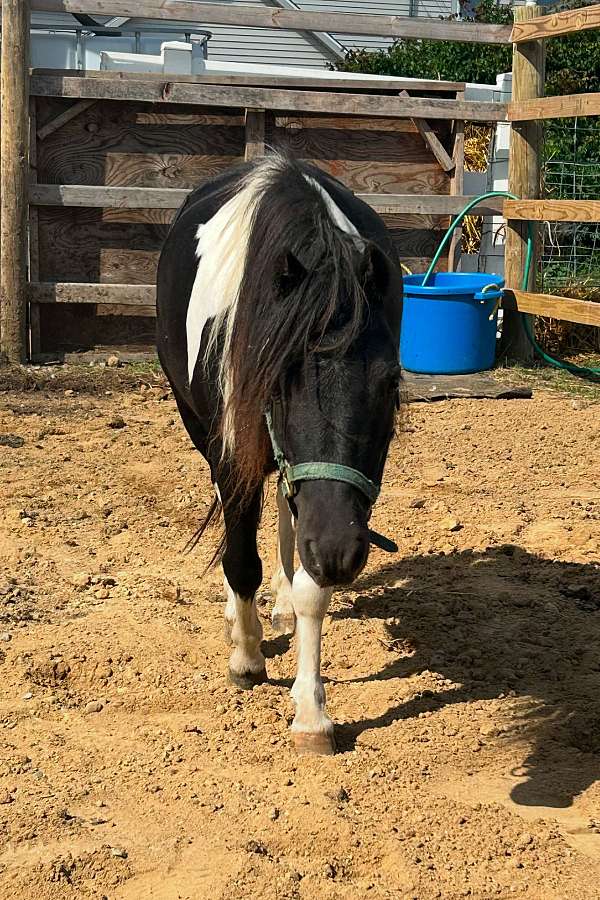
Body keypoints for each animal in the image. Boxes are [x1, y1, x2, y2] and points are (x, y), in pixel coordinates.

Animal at [157, 153, 406, 752]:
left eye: (390, 383)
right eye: (275, 382)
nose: (340, 553)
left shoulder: (330, 509)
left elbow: (313, 584)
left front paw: (312, 714)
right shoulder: (232, 453)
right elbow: (240, 559)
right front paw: (246, 660)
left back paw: (285, 602)